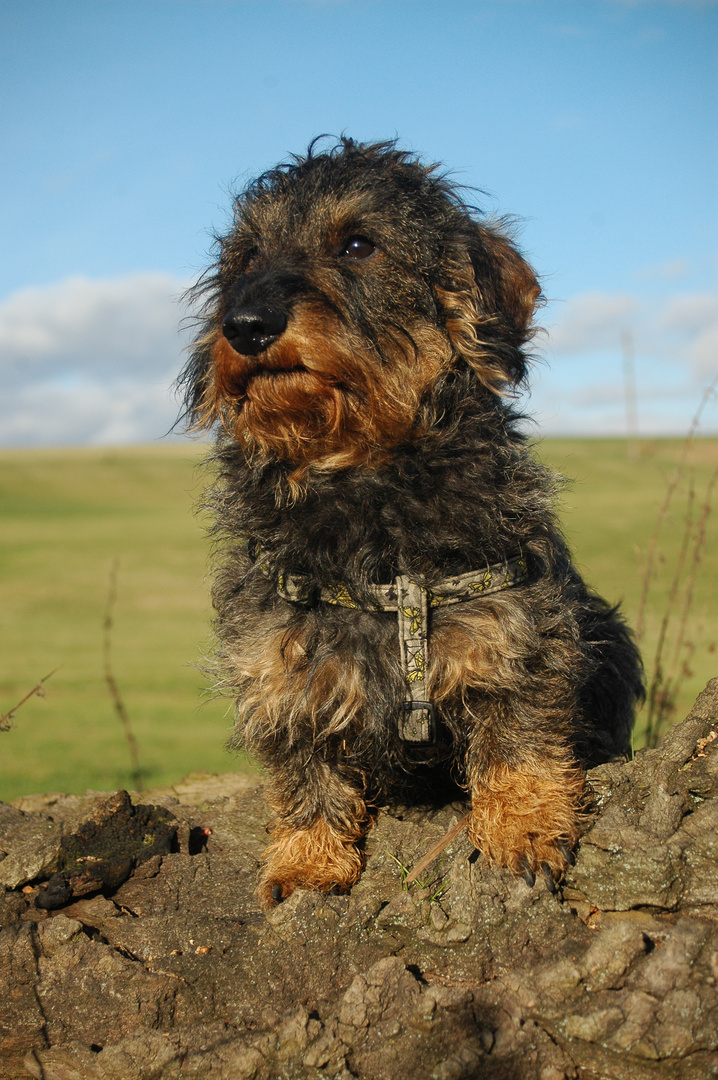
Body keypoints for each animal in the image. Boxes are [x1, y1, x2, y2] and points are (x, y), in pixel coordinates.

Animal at [180, 139, 643, 907]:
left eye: (358, 244)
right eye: (245, 257)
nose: (244, 325)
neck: (367, 486)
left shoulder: (516, 632)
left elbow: (520, 740)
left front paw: (522, 829)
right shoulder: (279, 658)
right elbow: (304, 766)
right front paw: (307, 860)